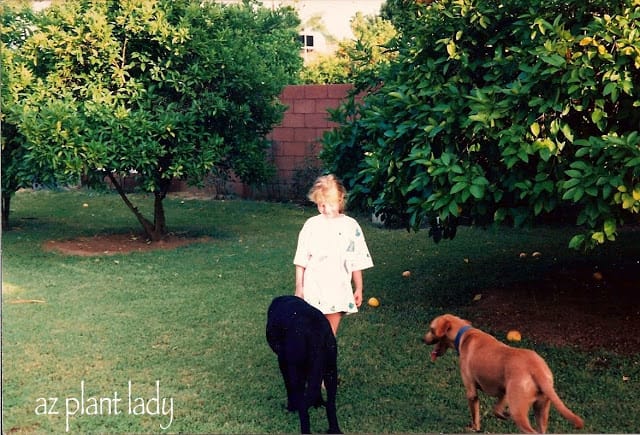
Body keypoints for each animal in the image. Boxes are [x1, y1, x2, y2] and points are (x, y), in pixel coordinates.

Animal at [266, 294, 342, 434]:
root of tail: (314, 331)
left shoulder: (284, 362)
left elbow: (288, 387)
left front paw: (291, 408)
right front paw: (318, 403)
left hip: (297, 372)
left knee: (302, 407)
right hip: (331, 371)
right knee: (330, 405)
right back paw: (335, 430)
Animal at [424, 316, 584, 434]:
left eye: (431, 329)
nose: (422, 339)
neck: (464, 334)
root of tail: (536, 369)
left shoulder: (471, 392)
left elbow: (475, 415)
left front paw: (475, 428)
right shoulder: (503, 393)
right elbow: (496, 409)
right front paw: (502, 415)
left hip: (520, 412)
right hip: (541, 410)